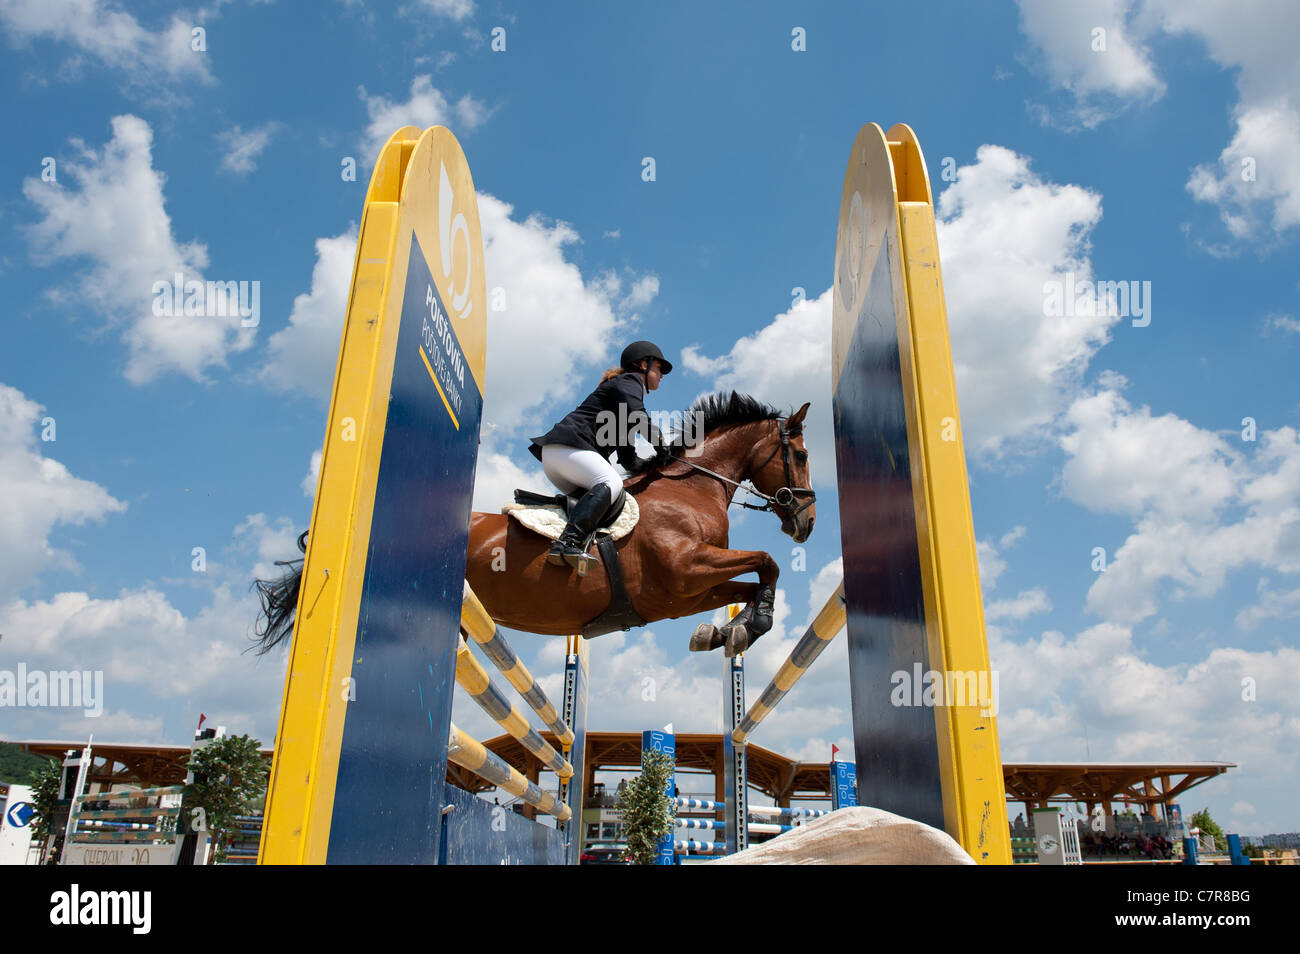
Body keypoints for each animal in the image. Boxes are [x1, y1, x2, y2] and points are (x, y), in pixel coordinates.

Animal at [256, 395, 811, 657]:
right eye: (803, 455)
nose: (807, 521)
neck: (692, 489)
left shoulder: (681, 594)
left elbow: (749, 582)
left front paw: (728, 632)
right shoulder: (685, 568)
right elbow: (768, 562)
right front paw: (747, 627)